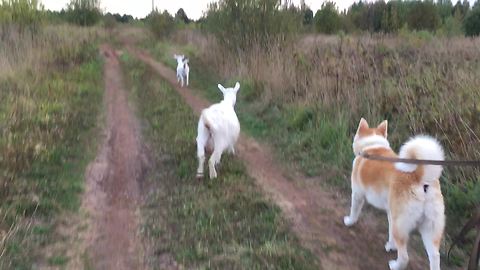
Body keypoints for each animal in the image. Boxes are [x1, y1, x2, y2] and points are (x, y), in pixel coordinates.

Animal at [344, 118, 444, 270]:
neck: (372, 147)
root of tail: (420, 177)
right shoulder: (391, 212)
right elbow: (390, 232)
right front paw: (391, 246)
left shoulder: (357, 195)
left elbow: (354, 212)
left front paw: (349, 221)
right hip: (429, 229)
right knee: (435, 256)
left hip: (402, 225)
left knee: (405, 257)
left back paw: (395, 265)